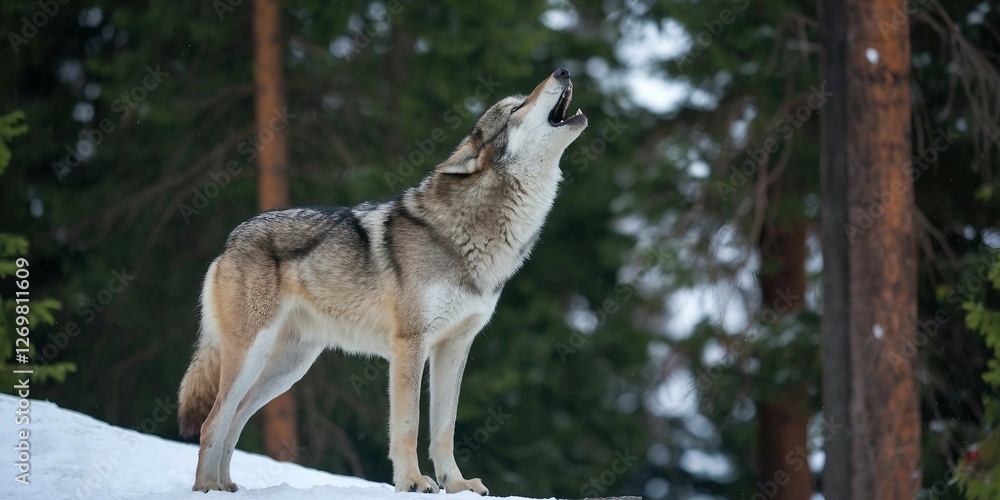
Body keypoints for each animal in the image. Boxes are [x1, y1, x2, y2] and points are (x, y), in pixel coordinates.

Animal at [177, 68, 588, 495]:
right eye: (516, 107)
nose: (563, 70)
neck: (473, 235)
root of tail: (231, 239)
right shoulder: (410, 344)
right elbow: (408, 425)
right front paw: (413, 482)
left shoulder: (455, 346)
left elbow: (445, 429)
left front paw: (456, 484)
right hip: (251, 356)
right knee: (212, 421)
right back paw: (206, 488)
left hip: (287, 369)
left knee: (236, 419)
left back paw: (226, 486)